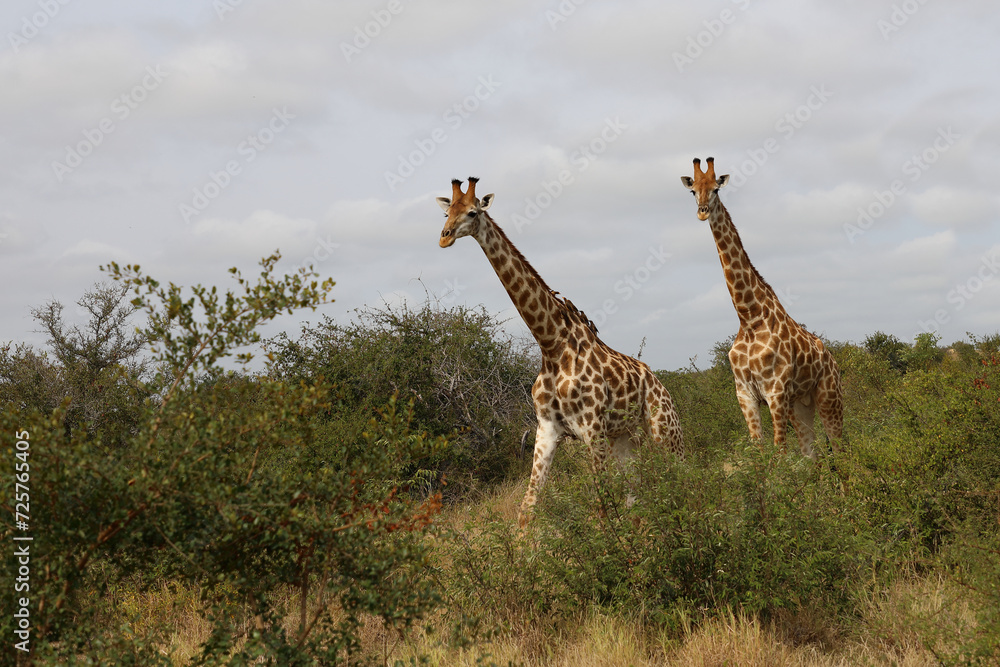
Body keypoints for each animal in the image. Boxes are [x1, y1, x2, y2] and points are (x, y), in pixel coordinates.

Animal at [438, 177, 683, 526]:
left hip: (663, 427)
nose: (444, 237)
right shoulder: (547, 430)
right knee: (635, 492)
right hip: (624, 436)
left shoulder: (592, 428)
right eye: (447, 212)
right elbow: (527, 508)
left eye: (472, 212)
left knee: (680, 477)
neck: (552, 345)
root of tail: (658, 381)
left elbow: (602, 507)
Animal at [680, 158, 843, 458]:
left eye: (716, 189)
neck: (749, 317)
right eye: (693, 190)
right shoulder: (745, 394)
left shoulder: (775, 392)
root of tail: (833, 361)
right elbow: (759, 451)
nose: (702, 212)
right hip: (801, 404)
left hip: (829, 396)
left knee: (840, 449)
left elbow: (779, 453)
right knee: (811, 454)